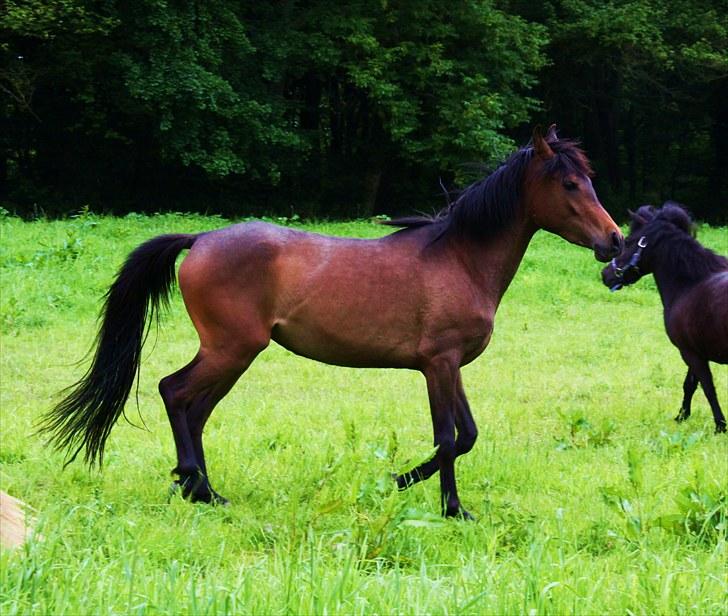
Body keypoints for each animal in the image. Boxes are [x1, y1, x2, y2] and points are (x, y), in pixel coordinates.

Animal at [39, 126, 620, 516]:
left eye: (589, 180)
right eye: (570, 184)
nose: (614, 241)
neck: (459, 257)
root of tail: (200, 240)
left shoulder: (451, 366)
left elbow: (468, 435)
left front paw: (415, 487)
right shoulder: (438, 364)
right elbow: (448, 439)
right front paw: (437, 501)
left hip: (232, 355)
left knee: (194, 409)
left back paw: (200, 487)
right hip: (232, 349)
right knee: (175, 393)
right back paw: (197, 488)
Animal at [604, 203, 728, 434]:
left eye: (630, 242)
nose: (605, 274)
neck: (690, 284)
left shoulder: (690, 353)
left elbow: (707, 387)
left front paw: (720, 426)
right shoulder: (695, 350)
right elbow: (690, 385)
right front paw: (682, 416)